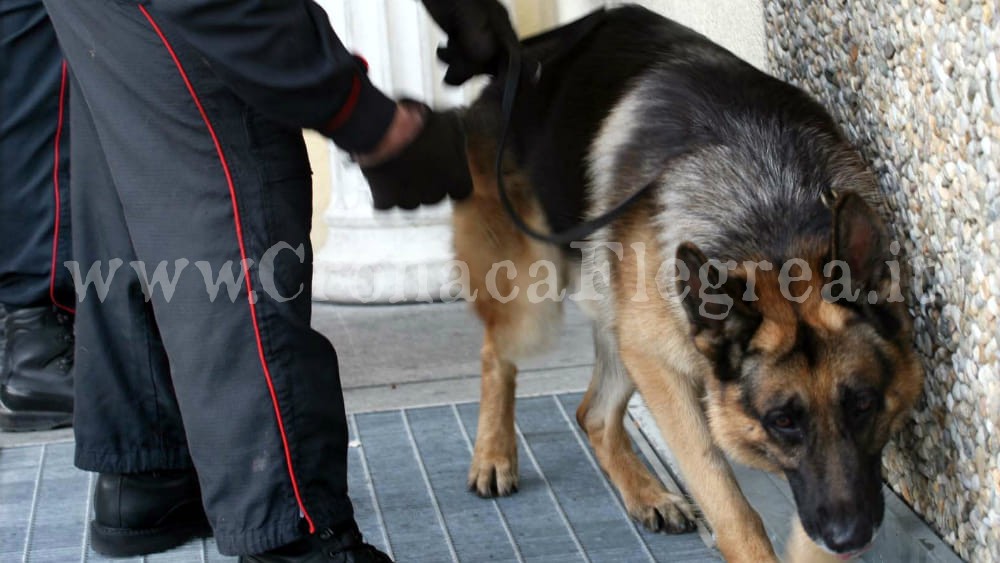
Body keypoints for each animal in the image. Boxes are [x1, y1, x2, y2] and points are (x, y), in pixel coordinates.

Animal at [450, 5, 924, 563]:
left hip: (622, 319)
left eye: (864, 405)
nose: (850, 537)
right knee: (495, 355)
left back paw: (645, 494)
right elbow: (727, 501)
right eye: (783, 421)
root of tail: (518, 59)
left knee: (593, 414)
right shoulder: (664, 369)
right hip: (538, 298)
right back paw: (494, 456)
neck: (769, 217)